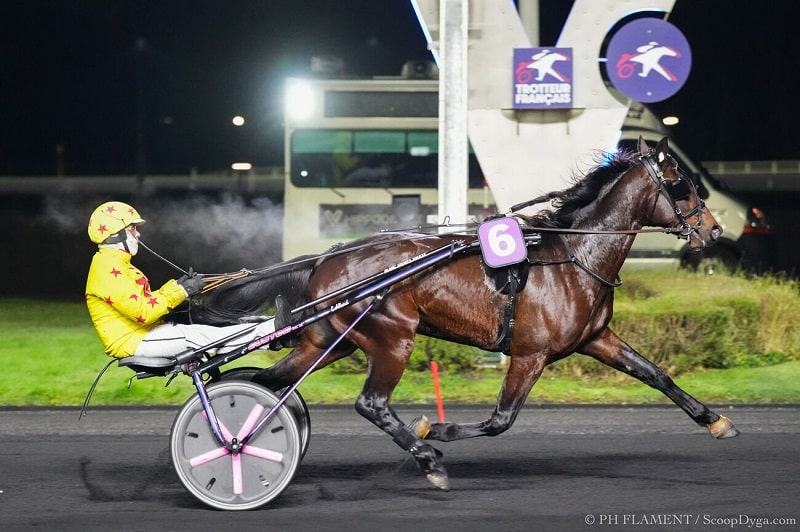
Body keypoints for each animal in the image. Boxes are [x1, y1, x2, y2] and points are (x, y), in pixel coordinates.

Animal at [192, 136, 736, 490]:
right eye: (683, 186)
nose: (714, 231)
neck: (573, 256)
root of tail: (329, 256)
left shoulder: (595, 338)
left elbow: (657, 374)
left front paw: (715, 420)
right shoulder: (529, 353)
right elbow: (500, 420)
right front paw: (437, 431)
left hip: (329, 340)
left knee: (270, 383)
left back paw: (243, 436)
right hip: (392, 337)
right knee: (370, 403)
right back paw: (426, 459)